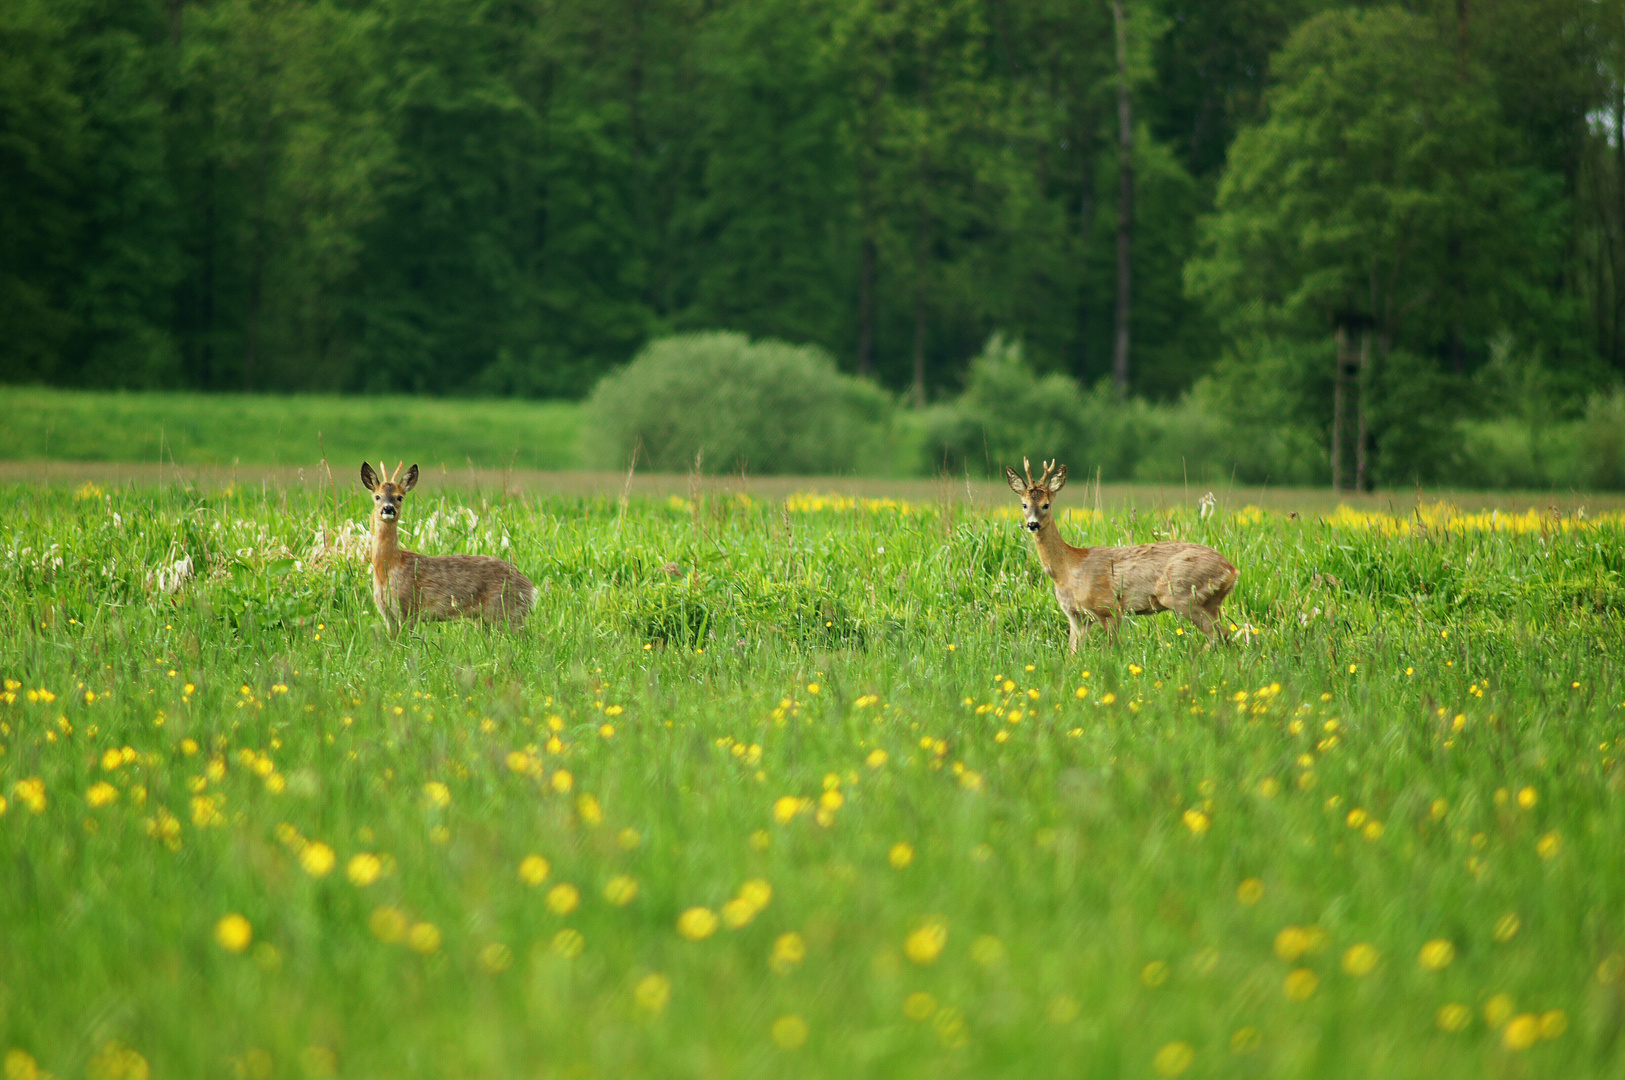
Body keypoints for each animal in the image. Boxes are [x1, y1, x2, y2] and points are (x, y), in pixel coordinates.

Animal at [359, 461, 536, 633]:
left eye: (400, 497)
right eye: (377, 496)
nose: (388, 508)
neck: (390, 565)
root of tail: (532, 589)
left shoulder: (409, 607)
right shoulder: (387, 613)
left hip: (506, 611)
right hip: (486, 619)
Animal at [994, 454, 1235, 649]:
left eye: (1046, 504)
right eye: (1024, 504)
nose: (1032, 524)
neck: (1068, 569)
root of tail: (1232, 570)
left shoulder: (1108, 608)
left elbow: (1114, 650)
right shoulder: (1076, 616)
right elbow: (1072, 655)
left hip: (1181, 593)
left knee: (1219, 634)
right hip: (1209, 601)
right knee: (1224, 635)